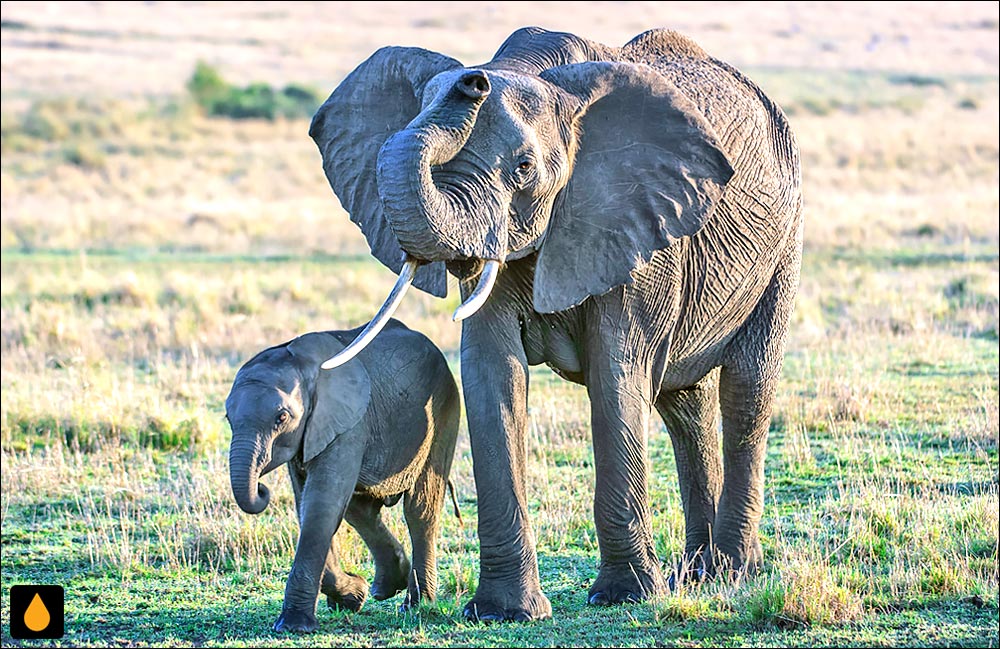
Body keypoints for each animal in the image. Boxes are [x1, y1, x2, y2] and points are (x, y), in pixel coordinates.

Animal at [225, 318, 458, 632]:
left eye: (281, 418)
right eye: (228, 418)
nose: (261, 489)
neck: (303, 367)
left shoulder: (348, 425)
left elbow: (321, 505)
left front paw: (293, 626)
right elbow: (309, 506)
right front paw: (352, 597)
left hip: (442, 413)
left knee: (420, 510)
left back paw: (415, 605)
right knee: (359, 510)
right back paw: (386, 587)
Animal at [312, 26, 804, 624]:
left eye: (524, 168)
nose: (472, 81)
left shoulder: (635, 228)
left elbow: (617, 375)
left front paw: (626, 596)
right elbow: (492, 374)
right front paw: (505, 612)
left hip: (784, 240)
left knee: (746, 385)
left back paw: (733, 575)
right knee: (684, 405)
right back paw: (697, 577)